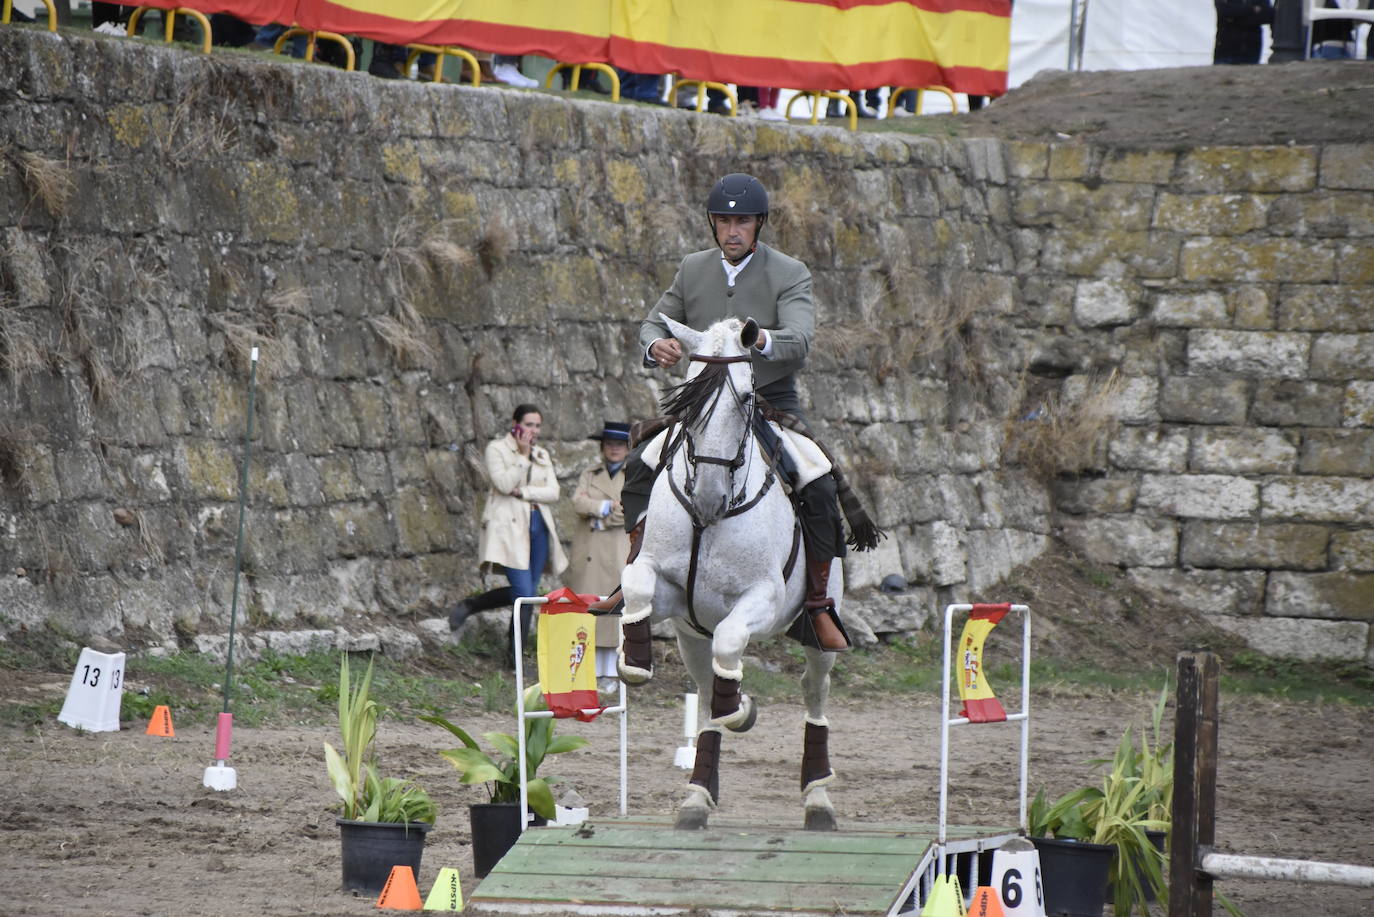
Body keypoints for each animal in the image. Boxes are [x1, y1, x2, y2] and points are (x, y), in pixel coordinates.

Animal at [621, 313, 835, 830]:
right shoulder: (669, 589)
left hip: (818, 632)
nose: (708, 499)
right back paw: (697, 796)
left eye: (746, 402)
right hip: (689, 633)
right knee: (704, 693)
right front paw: (633, 662)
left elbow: (733, 639)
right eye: (688, 403)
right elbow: (636, 587)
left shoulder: (763, 599)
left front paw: (743, 709)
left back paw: (818, 798)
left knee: (813, 689)